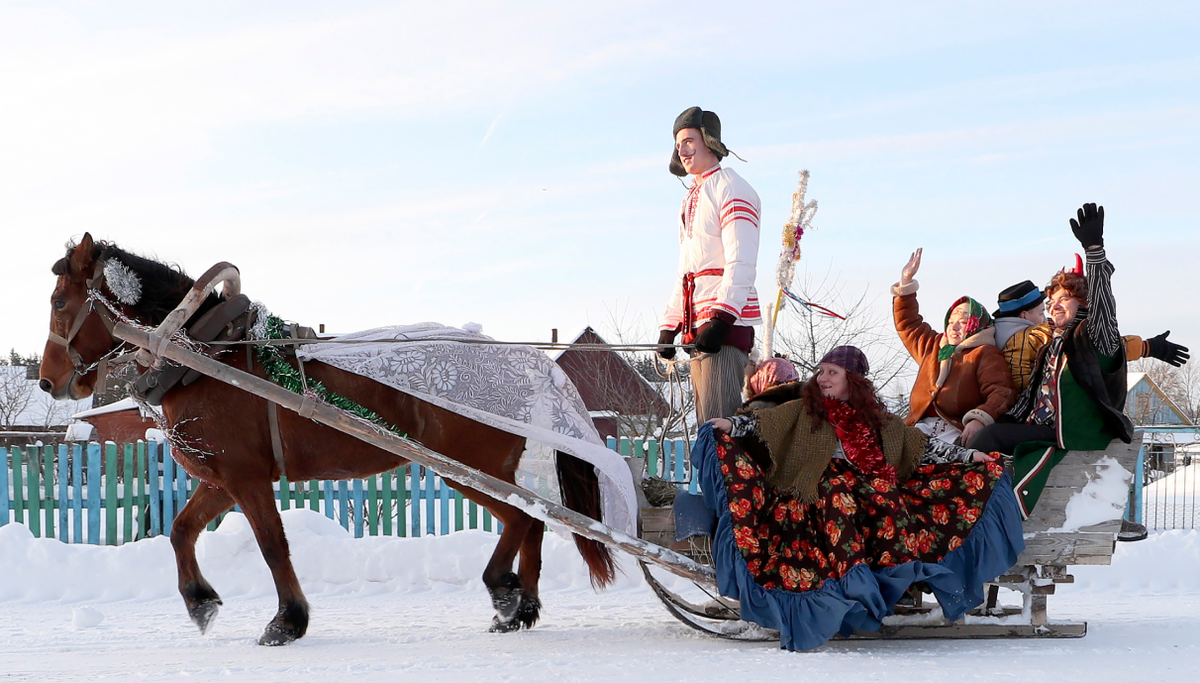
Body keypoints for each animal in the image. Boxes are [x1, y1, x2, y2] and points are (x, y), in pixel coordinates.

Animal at [38, 233, 615, 645]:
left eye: (59, 301)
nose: (48, 380)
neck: (206, 356)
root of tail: (532, 364)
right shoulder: (222, 479)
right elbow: (180, 531)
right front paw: (200, 602)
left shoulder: (247, 479)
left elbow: (273, 546)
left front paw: (286, 621)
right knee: (533, 522)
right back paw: (522, 609)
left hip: (468, 466)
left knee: (521, 519)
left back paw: (504, 591)